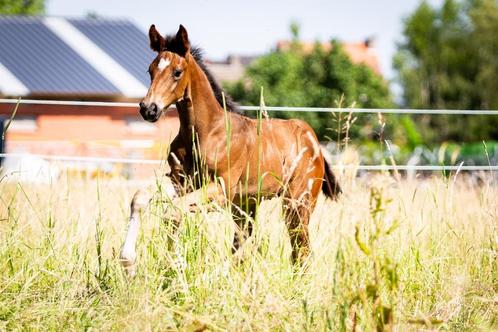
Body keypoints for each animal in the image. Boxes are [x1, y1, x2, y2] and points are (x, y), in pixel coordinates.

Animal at [119, 25, 342, 274]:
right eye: (150, 70)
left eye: (177, 72)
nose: (149, 109)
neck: (207, 132)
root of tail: (314, 143)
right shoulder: (182, 182)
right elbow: (141, 198)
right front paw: (128, 261)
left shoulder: (221, 190)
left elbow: (174, 212)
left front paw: (175, 263)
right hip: (246, 206)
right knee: (244, 246)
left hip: (297, 204)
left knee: (300, 249)